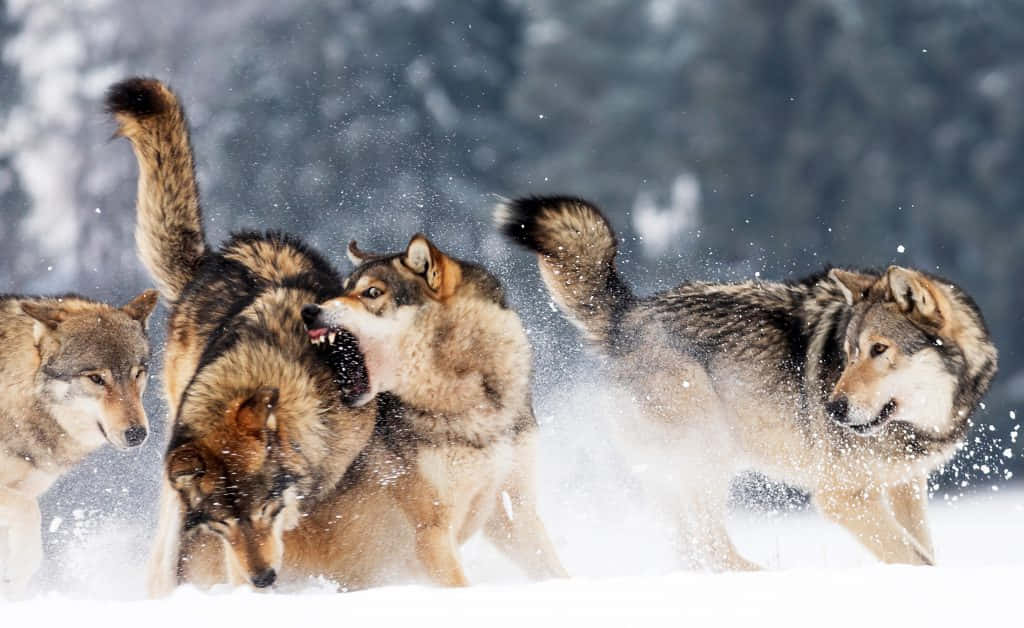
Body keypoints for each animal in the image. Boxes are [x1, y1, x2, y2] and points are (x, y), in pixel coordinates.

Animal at [298, 236, 567, 586]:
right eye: (344, 290)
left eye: (371, 292)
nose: (309, 311)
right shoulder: (431, 532)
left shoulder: (515, 510)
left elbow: (558, 573)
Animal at [496, 196, 997, 569]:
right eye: (850, 353)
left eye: (878, 350)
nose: (832, 408)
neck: (923, 426)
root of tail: (628, 317)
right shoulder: (842, 497)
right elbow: (915, 559)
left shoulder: (905, 485)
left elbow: (925, 552)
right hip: (707, 451)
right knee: (713, 549)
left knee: (693, 551)